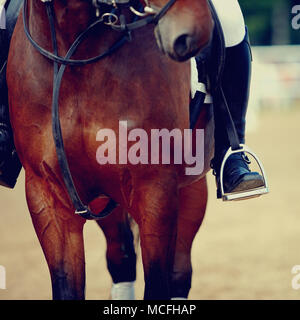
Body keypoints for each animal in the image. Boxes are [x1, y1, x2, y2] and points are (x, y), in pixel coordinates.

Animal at [7, 0, 213, 300]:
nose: (194, 31)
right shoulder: (46, 193)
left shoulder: (156, 187)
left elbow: (158, 285)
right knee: (122, 258)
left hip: (190, 188)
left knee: (178, 274)